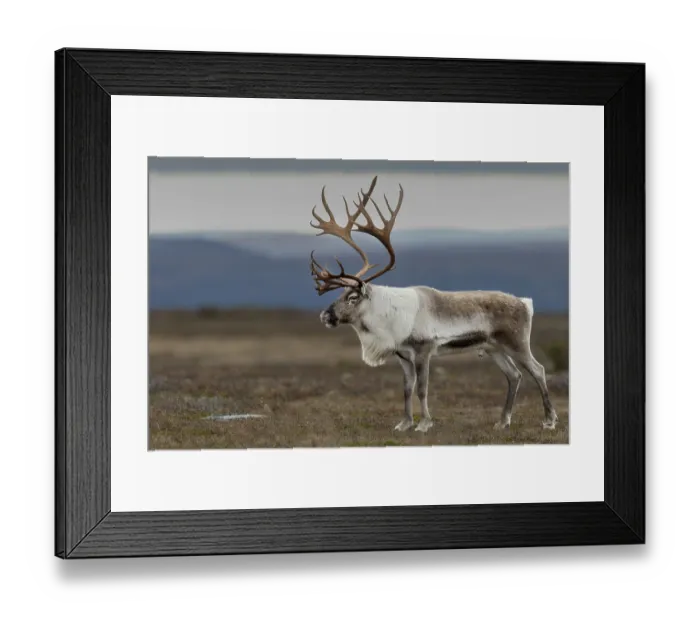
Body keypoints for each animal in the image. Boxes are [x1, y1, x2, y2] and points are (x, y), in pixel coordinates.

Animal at [309, 176, 558, 433]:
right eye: (340, 293)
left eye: (352, 297)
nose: (326, 316)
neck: (389, 317)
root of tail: (525, 303)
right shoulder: (403, 357)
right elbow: (406, 389)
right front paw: (404, 423)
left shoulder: (423, 351)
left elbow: (422, 388)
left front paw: (424, 423)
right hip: (494, 348)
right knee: (514, 375)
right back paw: (502, 421)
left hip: (516, 343)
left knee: (538, 370)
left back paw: (549, 420)